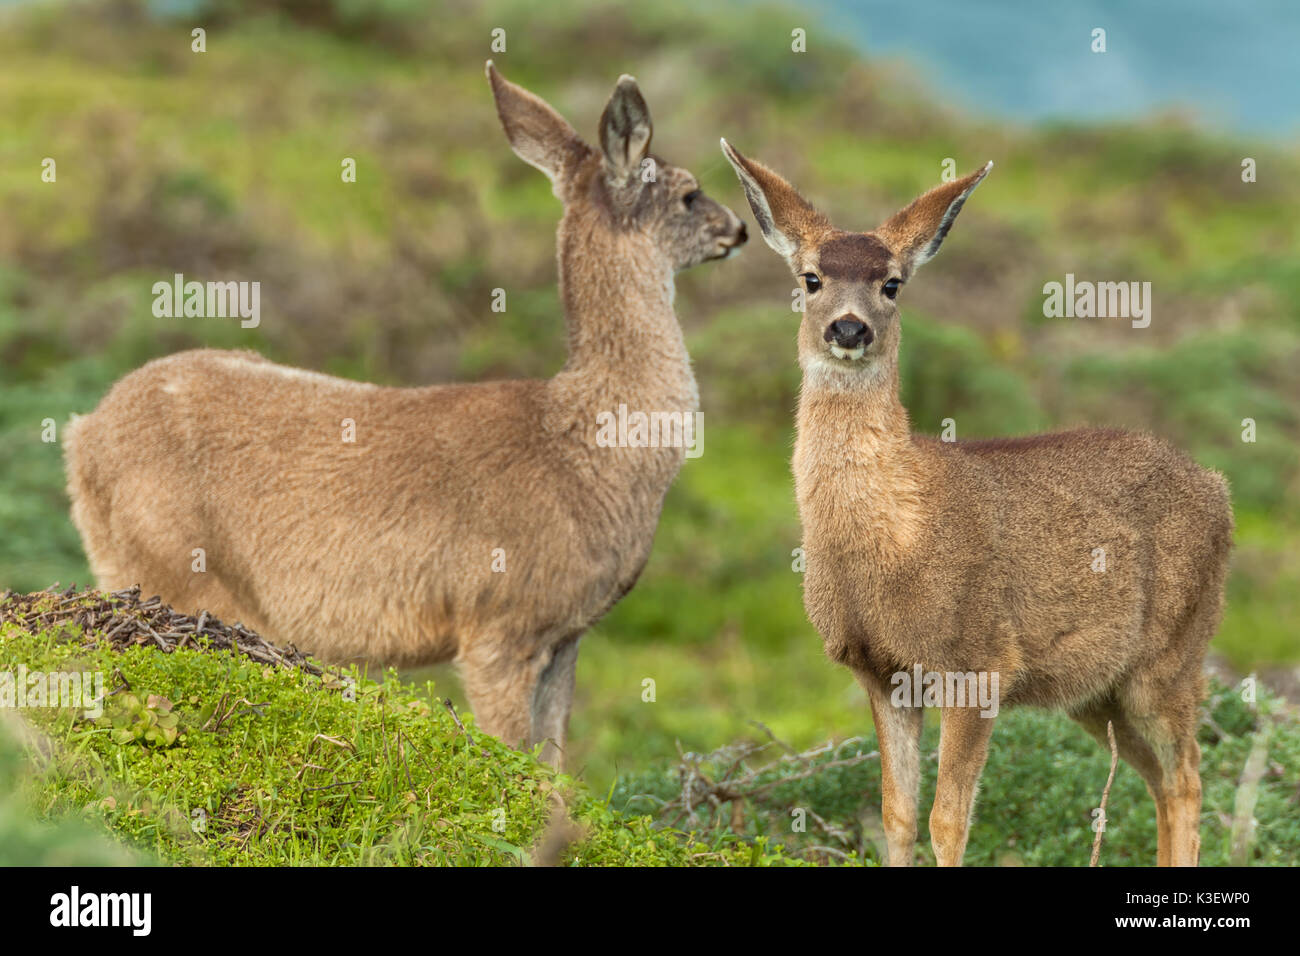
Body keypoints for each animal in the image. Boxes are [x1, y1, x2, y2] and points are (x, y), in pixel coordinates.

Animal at [63, 63, 754, 770]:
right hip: (169, 560)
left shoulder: (567, 635)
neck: (589, 448)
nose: (740, 229)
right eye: (690, 193)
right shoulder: (496, 621)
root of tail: (80, 434)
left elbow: (556, 765)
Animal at [728, 140, 1232, 868]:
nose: (849, 329)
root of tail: (1220, 489)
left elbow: (949, 820)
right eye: (812, 277)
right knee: (1162, 780)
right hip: (1097, 689)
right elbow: (898, 813)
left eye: (892, 283)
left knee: (1189, 774)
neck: (891, 535)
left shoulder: (979, 661)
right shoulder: (881, 672)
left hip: (1171, 653)